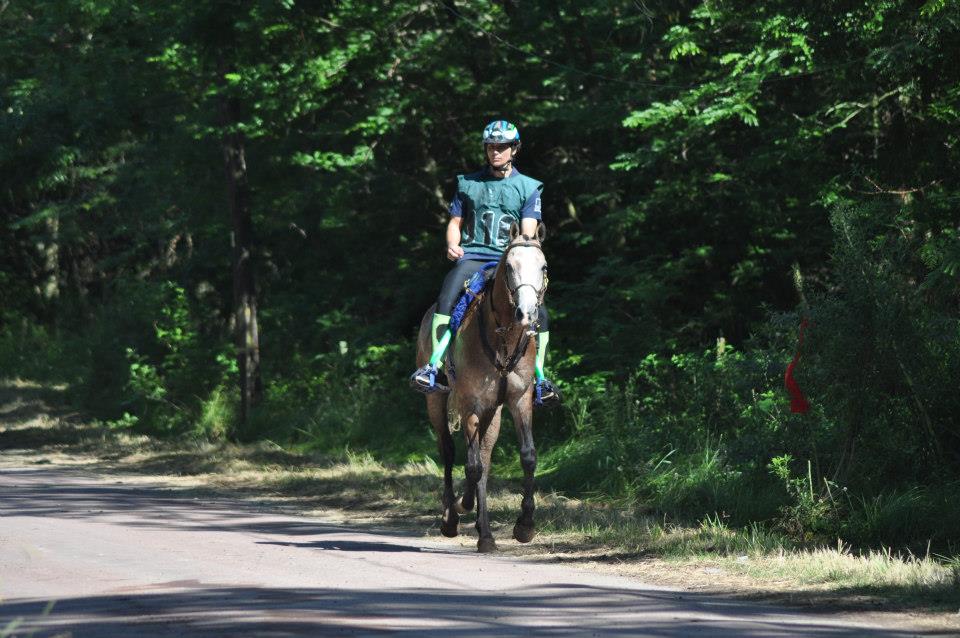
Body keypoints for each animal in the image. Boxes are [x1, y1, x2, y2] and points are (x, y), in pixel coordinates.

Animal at [414, 225, 548, 556]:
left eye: (543, 267)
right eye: (510, 267)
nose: (527, 314)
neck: (503, 339)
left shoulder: (518, 400)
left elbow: (527, 456)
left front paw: (524, 527)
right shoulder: (470, 404)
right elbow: (471, 465)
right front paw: (465, 514)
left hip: (494, 412)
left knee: (485, 460)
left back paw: (481, 526)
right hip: (436, 401)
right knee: (449, 451)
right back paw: (452, 516)